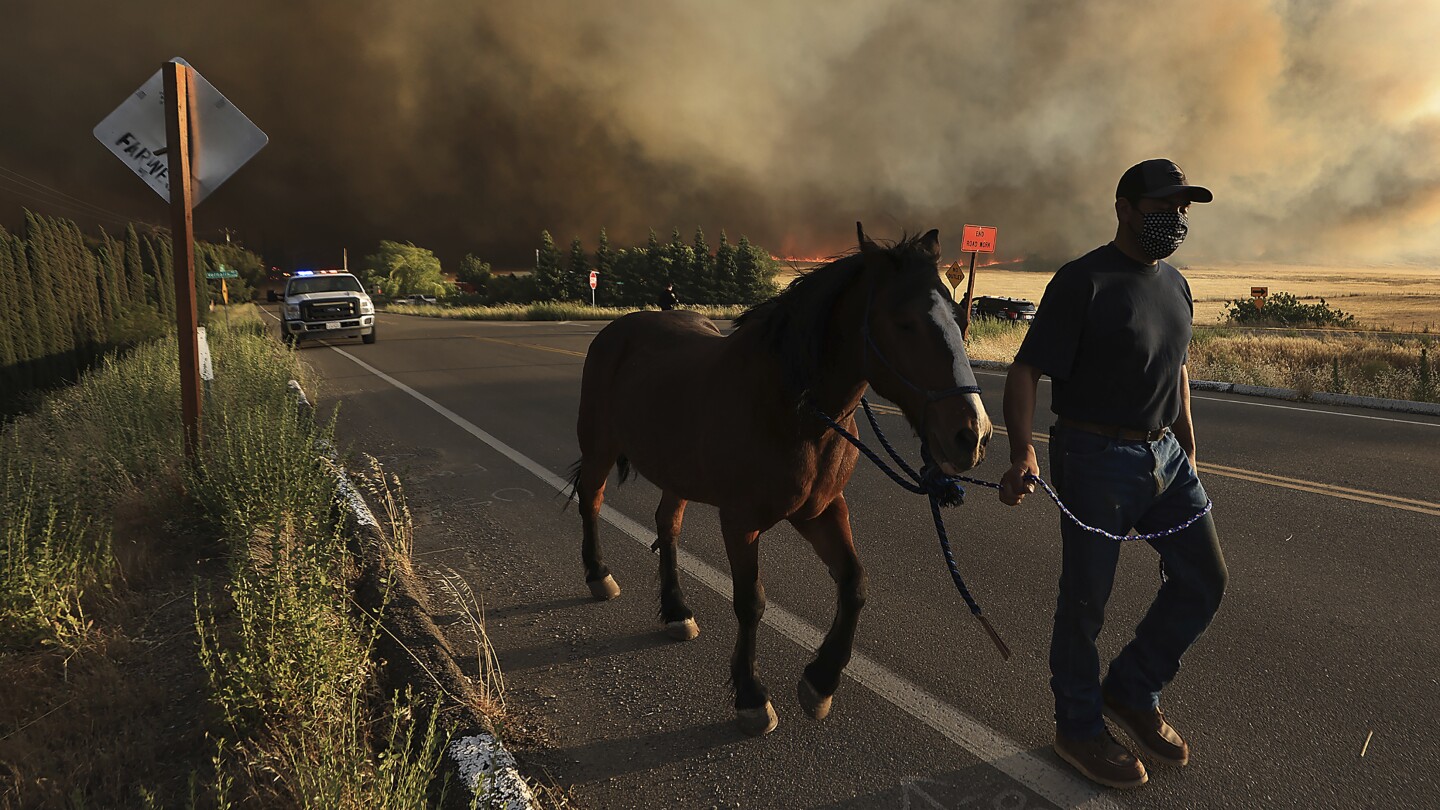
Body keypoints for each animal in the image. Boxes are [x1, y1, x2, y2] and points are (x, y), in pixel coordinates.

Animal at [570, 223, 990, 735]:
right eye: (903, 321)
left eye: (960, 317)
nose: (972, 434)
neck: (791, 409)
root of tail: (618, 329)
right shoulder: (740, 522)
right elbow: (751, 602)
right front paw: (751, 696)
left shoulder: (822, 511)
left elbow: (855, 584)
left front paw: (820, 682)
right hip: (599, 449)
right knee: (591, 500)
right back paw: (599, 575)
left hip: (676, 472)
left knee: (667, 525)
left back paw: (675, 610)